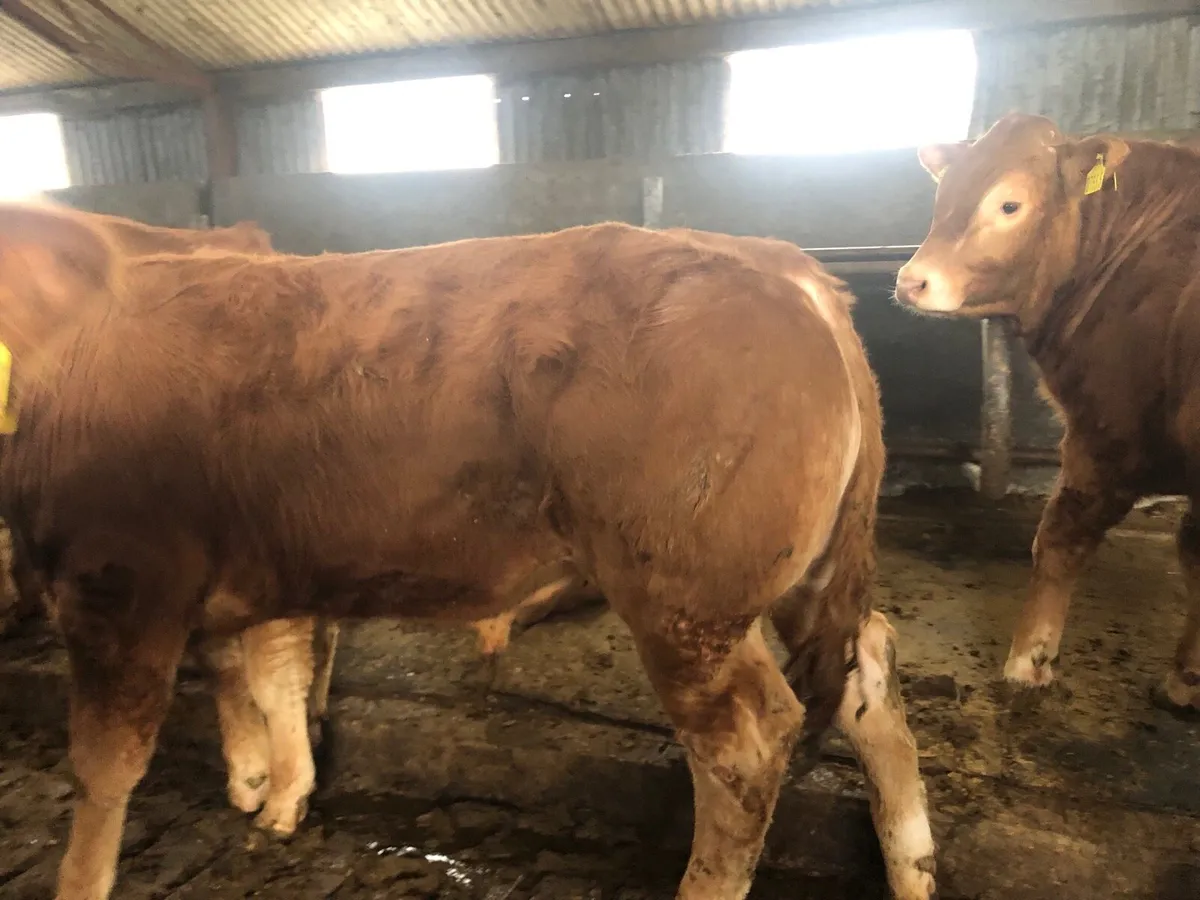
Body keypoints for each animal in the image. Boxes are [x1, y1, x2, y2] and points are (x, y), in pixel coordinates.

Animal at [0, 202, 936, 900]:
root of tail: (780, 264)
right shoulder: (266, 562)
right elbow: (273, 677)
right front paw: (277, 794)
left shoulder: (115, 580)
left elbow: (107, 766)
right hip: (803, 575)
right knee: (870, 676)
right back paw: (913, 867)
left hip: (685, 599)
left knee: (747, 741)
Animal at [895, 111, 1200, 714]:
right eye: (944, 193)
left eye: (1010, 204)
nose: (911, 281)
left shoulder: (1106, 429)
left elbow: (1061, 538)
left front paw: (1028, 662)